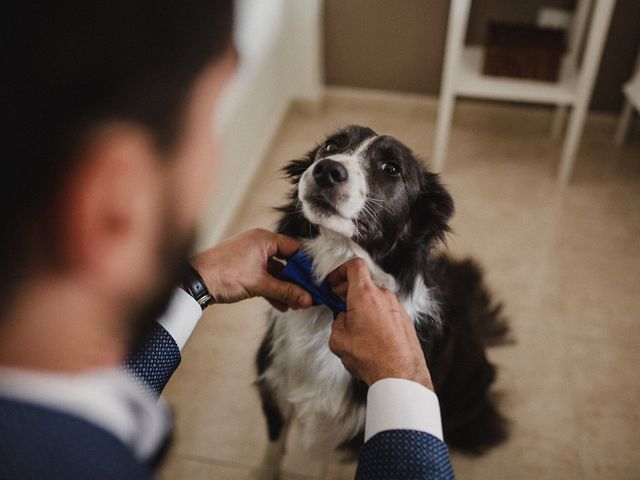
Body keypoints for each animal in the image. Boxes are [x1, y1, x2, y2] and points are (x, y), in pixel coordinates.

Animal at [252, 125, 508, 478]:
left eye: (391, 169)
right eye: (331, 145)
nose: (326, 170)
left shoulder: (356, 433)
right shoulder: (275, 385)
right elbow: (273, 450)